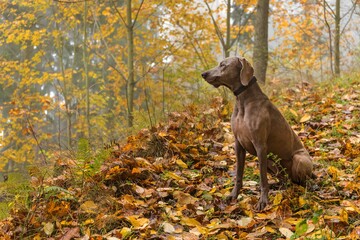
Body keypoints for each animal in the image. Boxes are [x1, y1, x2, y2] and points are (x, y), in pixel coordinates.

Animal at [201, 56, 314, 210]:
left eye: (223, 65)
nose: (203, 74)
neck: (243, 102)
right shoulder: (238, 144)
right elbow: (238, 174)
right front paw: (234, 195)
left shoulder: (260, 145)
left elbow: (262, 179)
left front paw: (263, 201)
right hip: (271, 162)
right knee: (285, 180)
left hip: (299, 159)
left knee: (301, 181)